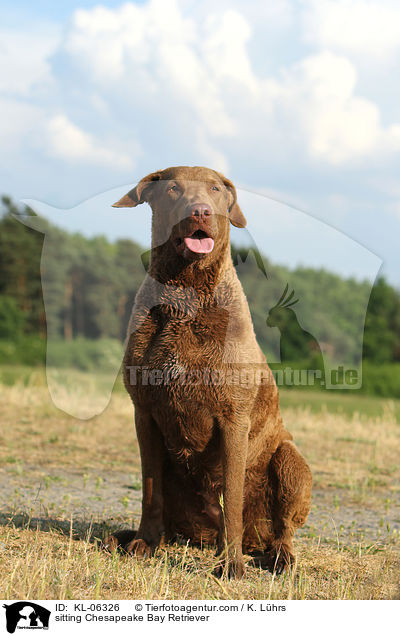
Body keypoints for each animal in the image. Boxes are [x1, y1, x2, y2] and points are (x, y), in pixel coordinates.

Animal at [109, 166, 312, 580]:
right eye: (173, 188)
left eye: (216, 189)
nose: (200, 211)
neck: (185, 295)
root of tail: (256, 542)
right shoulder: (144, 412)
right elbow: (149, 489)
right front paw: (143, 544)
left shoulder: (233, 418)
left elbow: (231, 499)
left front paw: (230, 565)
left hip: (290, 461)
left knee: (283, 527)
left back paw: (276, 558)